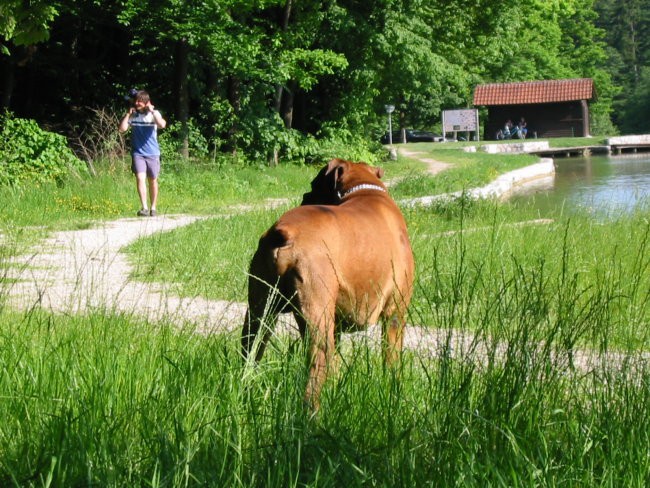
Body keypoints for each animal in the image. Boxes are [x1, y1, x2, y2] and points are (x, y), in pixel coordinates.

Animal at [240, 158, 412, 410]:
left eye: (314, 184)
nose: (305, 195)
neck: (366, 190)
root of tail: (283, 231)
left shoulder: (337, 327)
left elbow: (336, 365)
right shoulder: (394, 315)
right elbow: (391, 363)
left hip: (259, 317)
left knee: (248, 357)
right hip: (317, 325)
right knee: (313, 381)